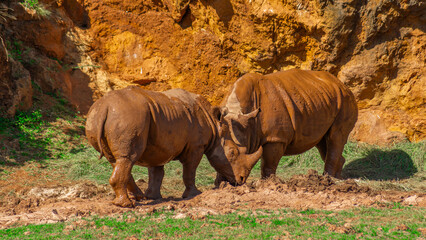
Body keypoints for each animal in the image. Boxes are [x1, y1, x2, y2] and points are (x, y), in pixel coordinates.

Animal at [85, 86, 262, 208]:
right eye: (232, 153)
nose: (241, 180)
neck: (215, 126)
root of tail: (104, 107)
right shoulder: (196, 147)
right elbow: (189, 171)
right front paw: (194, 194)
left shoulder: (158, 147)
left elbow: (156, 173)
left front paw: (154, 197)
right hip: (128, 116)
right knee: (127, 158)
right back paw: (127, 205)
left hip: (99, 118)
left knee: (116, 160)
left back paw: (138, 198)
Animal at [215, 68, 358, 185]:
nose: (238, 180)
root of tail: (341, 83)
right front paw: (220, 184)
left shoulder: (275, 138)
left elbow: (268, 163)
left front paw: (267, 183)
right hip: (323, 99)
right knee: (323, 143)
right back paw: (338, 179)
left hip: (345, 99)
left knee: (335, 137)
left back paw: (329, 179)